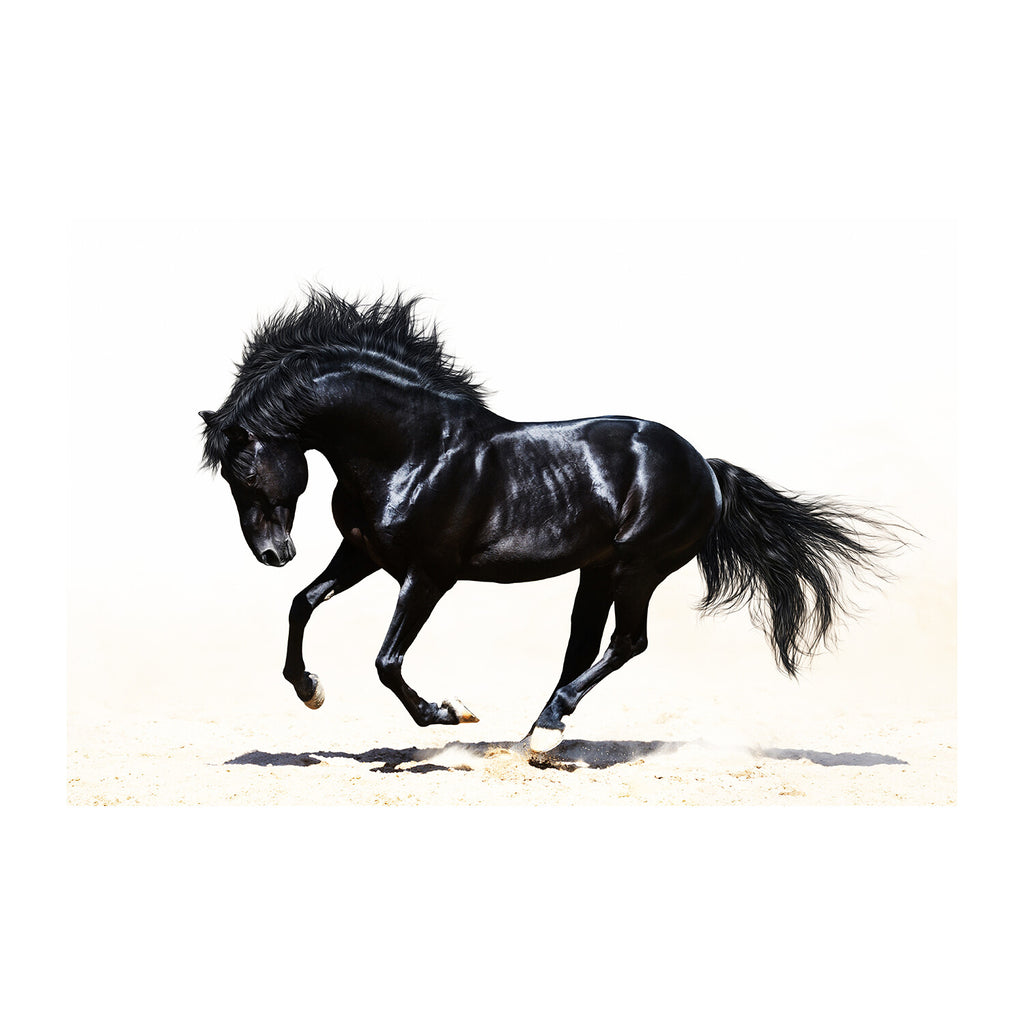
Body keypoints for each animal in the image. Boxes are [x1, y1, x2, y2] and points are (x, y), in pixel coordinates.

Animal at [200, 288, 902, 752]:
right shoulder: (365, 554)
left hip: (637, 567)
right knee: (583, 647)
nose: (273, 553)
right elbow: (302, 604)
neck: (413, 451)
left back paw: (543, 731)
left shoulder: (428, 576)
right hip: (598, 571)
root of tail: (703, 465)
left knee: (626, 643)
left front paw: (450, 714)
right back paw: (534, 737)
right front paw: (309, 689)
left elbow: (387, 661)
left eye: (244, 470)